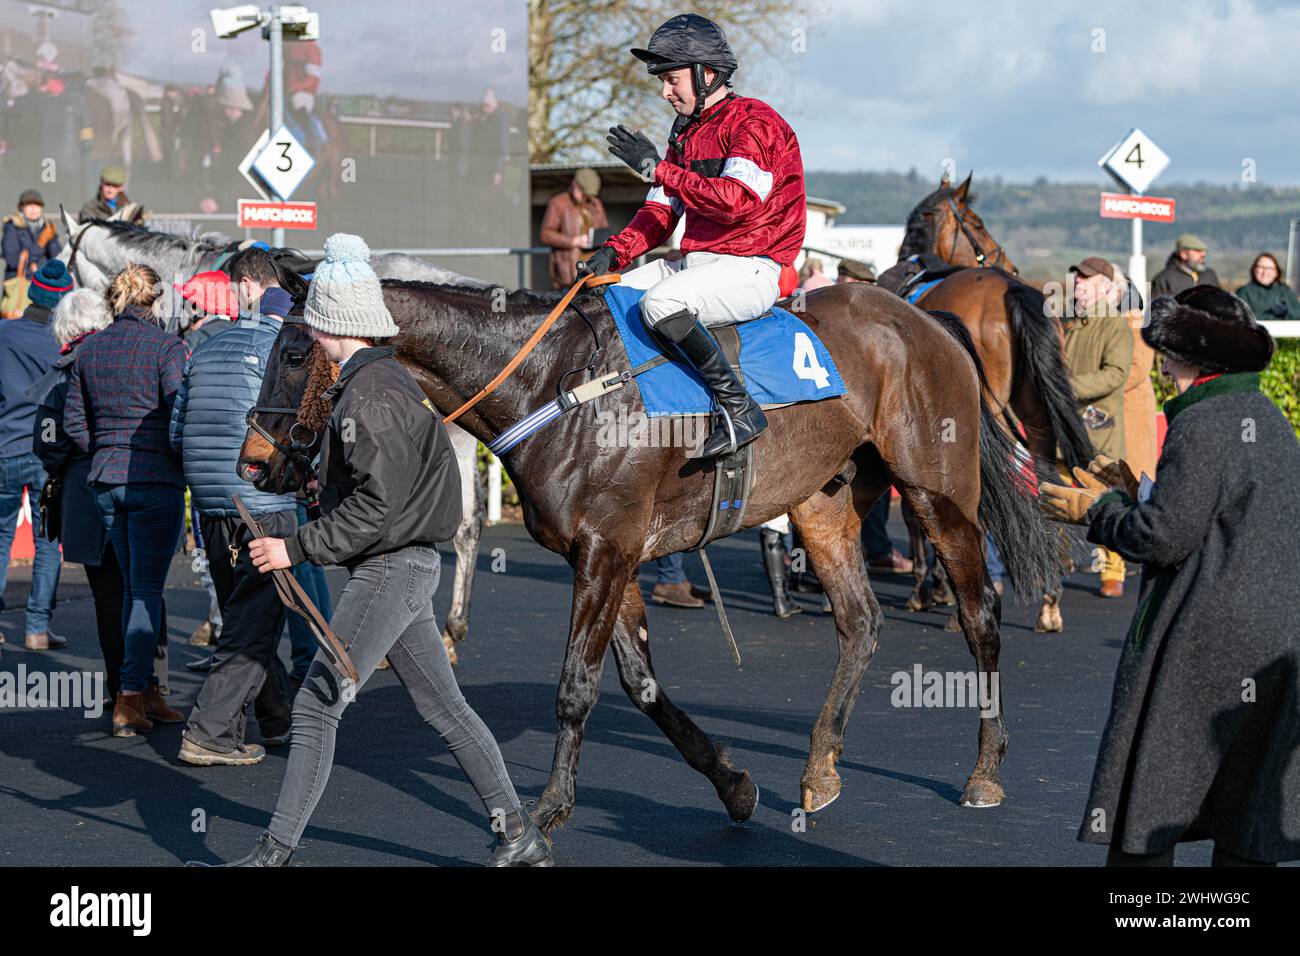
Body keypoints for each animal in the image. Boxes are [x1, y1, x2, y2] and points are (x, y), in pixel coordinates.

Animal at [239, 274, 1060, 832]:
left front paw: (550, 808)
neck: (560, 385)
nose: (253, 464)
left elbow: (576, 685)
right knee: (859, 621)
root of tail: (924, 317)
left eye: (293, 350)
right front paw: (732, 782)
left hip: (935, 491)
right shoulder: (614, 554)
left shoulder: (606, 549)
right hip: (824, 501)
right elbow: (641, 686)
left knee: (980, 616)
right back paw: (821, 766)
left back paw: (984, 770)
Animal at [889, 175, 1092, 632]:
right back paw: (1049, 600)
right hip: (1033, 416)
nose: (1011, 262)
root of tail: (1011, 287)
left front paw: (928, 588)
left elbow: (916, 511)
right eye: (978, 224)